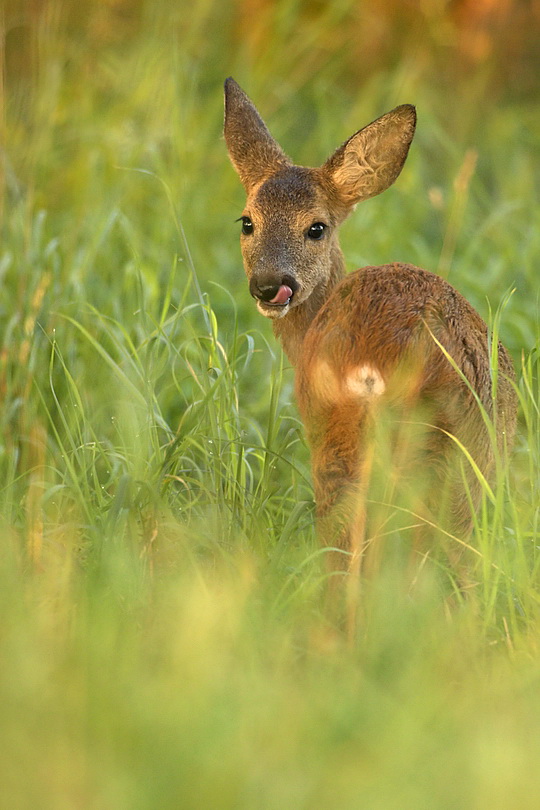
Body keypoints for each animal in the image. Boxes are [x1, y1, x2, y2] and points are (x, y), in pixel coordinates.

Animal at [225, 77, 520, 576]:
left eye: (317, 228)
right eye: (247, 222)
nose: (270, 286)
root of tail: (368, 362)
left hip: (341, 435)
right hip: (439, 454)